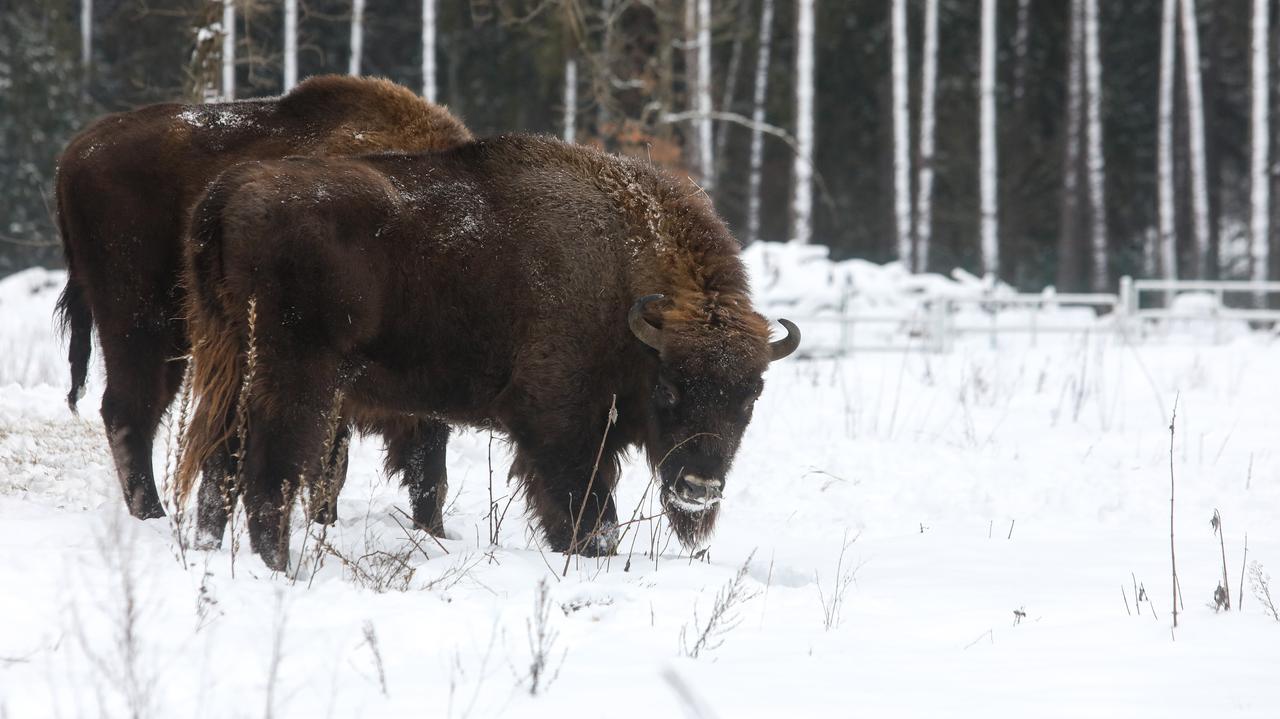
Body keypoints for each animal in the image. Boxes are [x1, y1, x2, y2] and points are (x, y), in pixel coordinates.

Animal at [55, 75, 473, 532]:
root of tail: (77, 153)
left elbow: (426, 469)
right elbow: (333, 465)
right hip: (142, 322)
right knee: (130, 410)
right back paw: (153, 513)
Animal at [177, 134, 798, 568]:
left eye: (751, 395)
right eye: (668, 387)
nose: (699, 489)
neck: (623, 272)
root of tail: (227, 194)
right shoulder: (561, 422)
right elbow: (588, 508)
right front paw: (590, 553)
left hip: (229, 363)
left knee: (220, 460)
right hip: (299, 377)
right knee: (271, 466)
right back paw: (280, 566)